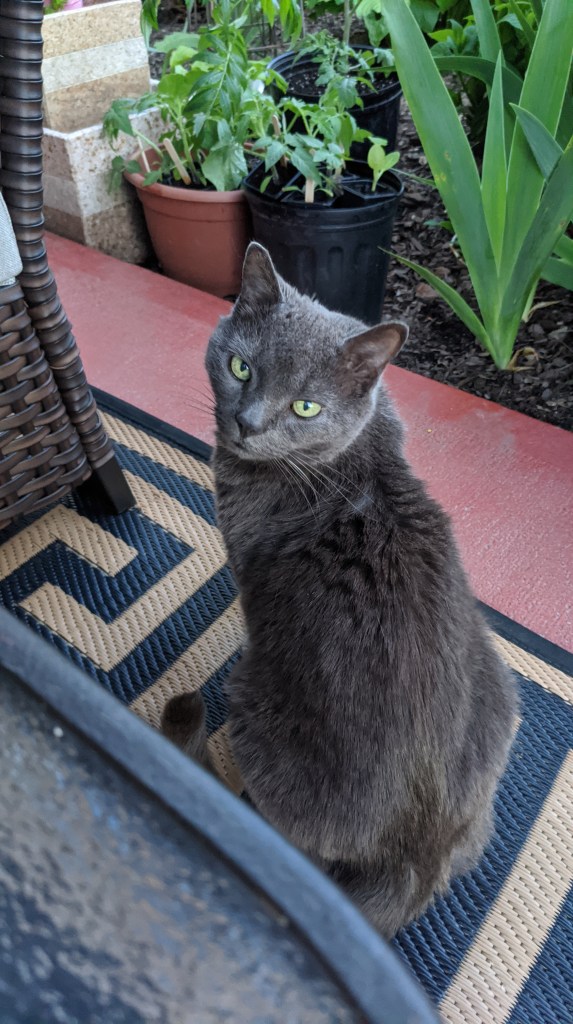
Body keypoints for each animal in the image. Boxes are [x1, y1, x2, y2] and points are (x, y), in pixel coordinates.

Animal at [162, 242, 517, 938]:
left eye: (306, 407)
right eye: (241, 367)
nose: (246, 422)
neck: (351, 453)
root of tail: (417, 857)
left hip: (253, 708)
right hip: (501, 693)